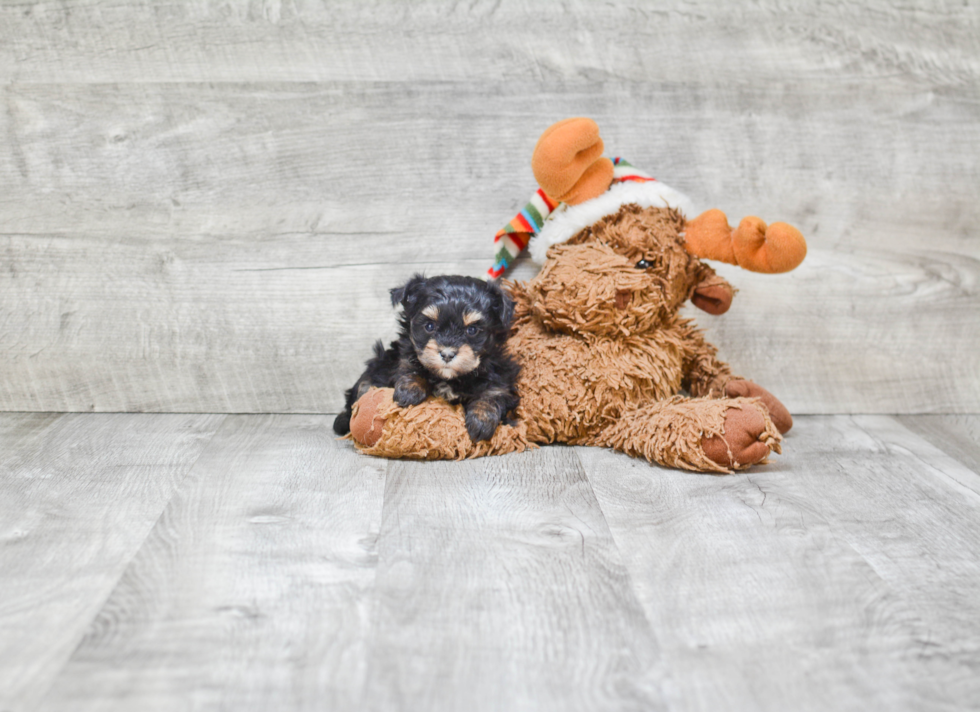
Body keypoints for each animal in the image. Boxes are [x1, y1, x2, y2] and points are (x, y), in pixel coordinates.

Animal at [334, 276, 520, 442]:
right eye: (429, 326)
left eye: (472, 330)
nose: (447, 354)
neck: (450, 379)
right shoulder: (402, 356)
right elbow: (409, 364)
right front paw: (409, 390)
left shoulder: (499, 373)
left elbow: (494, 392)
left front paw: (481, 421)